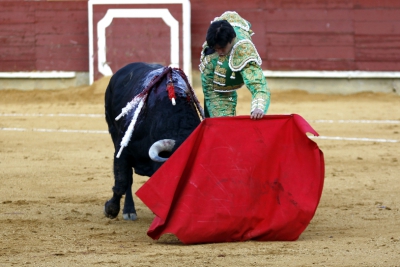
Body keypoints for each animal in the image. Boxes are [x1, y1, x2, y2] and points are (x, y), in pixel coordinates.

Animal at [103, 62, 203, 220]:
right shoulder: (122, 151)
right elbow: (122, 182)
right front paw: (111, 209)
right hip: (112, 128)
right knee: (128, 180)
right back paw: (129, 211)